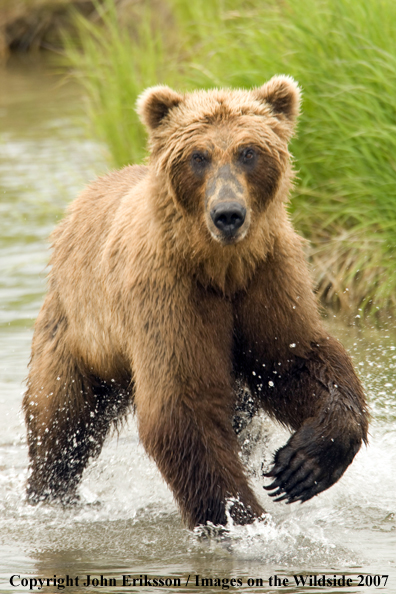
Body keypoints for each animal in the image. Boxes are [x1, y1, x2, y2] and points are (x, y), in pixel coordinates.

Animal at [23, 76, 370, 524]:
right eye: (198, 156)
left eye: (248, 152)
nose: (228, 214)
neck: (220, 267)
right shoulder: (169, 293)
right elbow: (184, 403)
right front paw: (239, 515)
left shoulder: (268, 278)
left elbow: (295, 359)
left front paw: (302, 465)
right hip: (79, 331)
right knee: (60, 421)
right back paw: (48, 493)